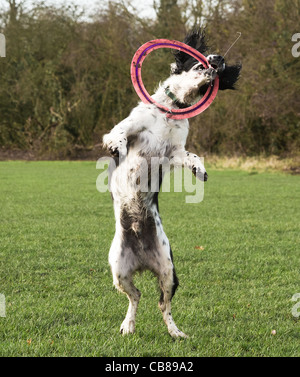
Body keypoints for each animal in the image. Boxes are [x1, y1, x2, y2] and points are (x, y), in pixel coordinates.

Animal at [102, 27, 240, 336]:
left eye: (221, 67)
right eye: (201, 60)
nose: (219, 59)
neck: (171, 109)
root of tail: (142, 260)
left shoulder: (175, 151)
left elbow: (192, 155)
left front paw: (200, 170)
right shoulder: (132, 126)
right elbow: (118, 132)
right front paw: (117, 147)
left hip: (168, 271)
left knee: (160, 304)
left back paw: (175, 332)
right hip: (118, 270)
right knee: (135, 296)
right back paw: (128, 325)